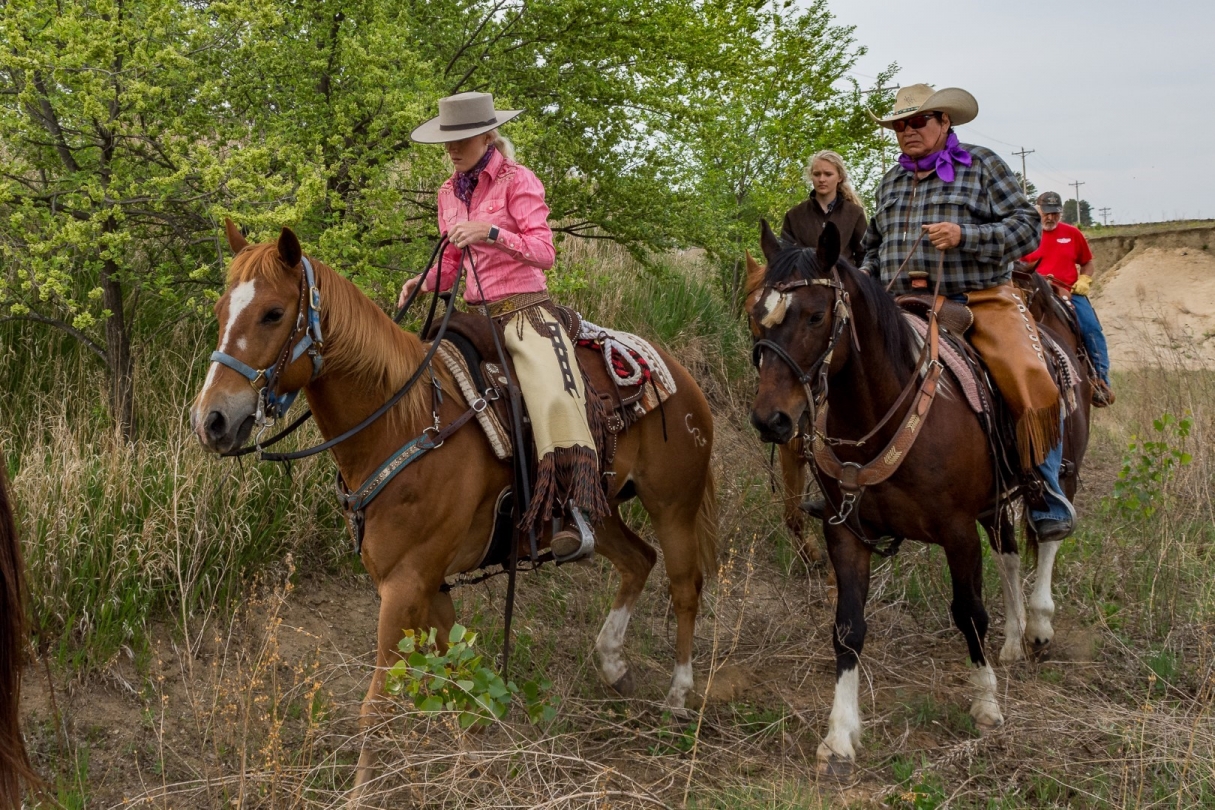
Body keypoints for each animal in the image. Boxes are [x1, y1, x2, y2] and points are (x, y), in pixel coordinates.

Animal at [191, 223, 717, 795]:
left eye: (272, 313)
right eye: (220, 310)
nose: (211, 420)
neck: (404, 419)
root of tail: (675, 370)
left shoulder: (404, 585)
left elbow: (377, 705)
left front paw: (361, 793)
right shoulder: (430, 586)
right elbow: (459, 679)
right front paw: (471, 763)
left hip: (674, 504)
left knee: (684, 586)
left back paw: (678, 698)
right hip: (602, 511)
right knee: (639, 560)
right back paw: (613, 663)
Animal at [747, 221, 1086, 775]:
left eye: (817, 315)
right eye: (759, 314)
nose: (770, 419)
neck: (879, 411)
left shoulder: (957, 532)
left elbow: (969, 612)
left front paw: (986, 702)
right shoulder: (845, 532)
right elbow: (847, 627)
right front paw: (839, 733)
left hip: (1061, 472)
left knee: (1047, 538)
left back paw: (1037, 624)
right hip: (994, 505)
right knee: (1011, 553)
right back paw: (1014, 638)